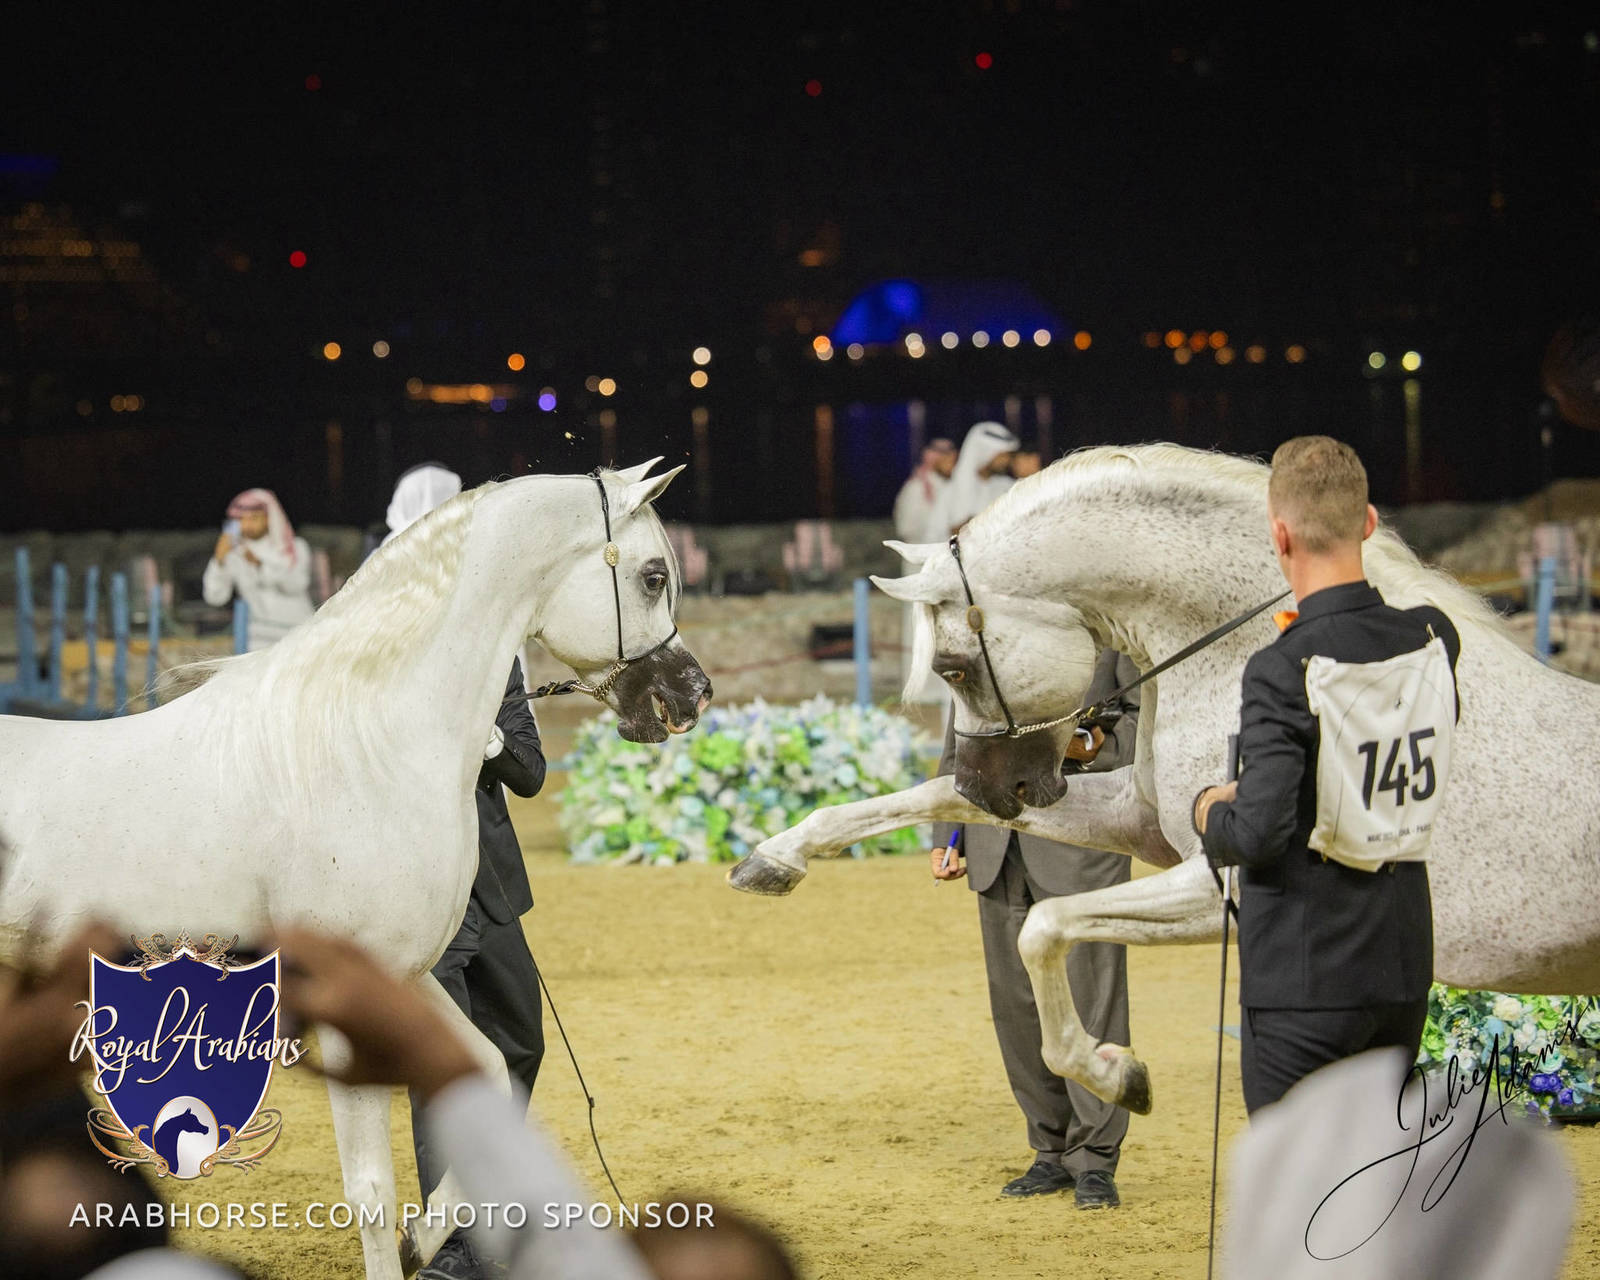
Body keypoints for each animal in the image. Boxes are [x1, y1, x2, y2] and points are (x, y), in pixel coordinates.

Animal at [0, 461, 711, 1280]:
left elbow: (482, 1074)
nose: (691, 697)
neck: (366, 741)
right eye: (654, 576)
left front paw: (423, 1242)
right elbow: (370, 1187)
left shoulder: (402, 979)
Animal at [729, 444, 1600, 1115]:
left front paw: (1116, 1074)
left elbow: (1044, 926)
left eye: (952, 667)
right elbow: (913, 800)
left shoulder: (1221, 886)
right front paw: (775, 855)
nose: (989, 790)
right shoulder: (1143, 824)